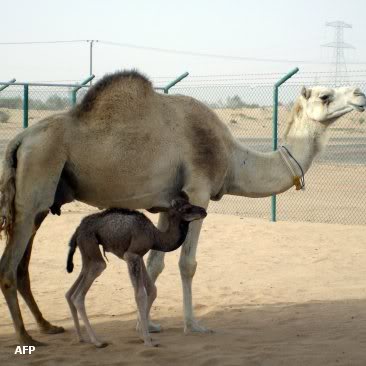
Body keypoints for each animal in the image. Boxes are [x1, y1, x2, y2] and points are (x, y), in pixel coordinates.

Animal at [65, 196, 206, 348]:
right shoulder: (132, 255)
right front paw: (147, 341)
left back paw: (81, 337)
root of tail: (78, 229)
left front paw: (143, 335)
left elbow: (152, 290)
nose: (203, 211)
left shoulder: (139, 256)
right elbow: (140, 295)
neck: (155, 236)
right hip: (91, 245)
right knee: (81, 292)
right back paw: (97, 341)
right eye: (187, 208)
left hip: (86, 250)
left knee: (72, 289)